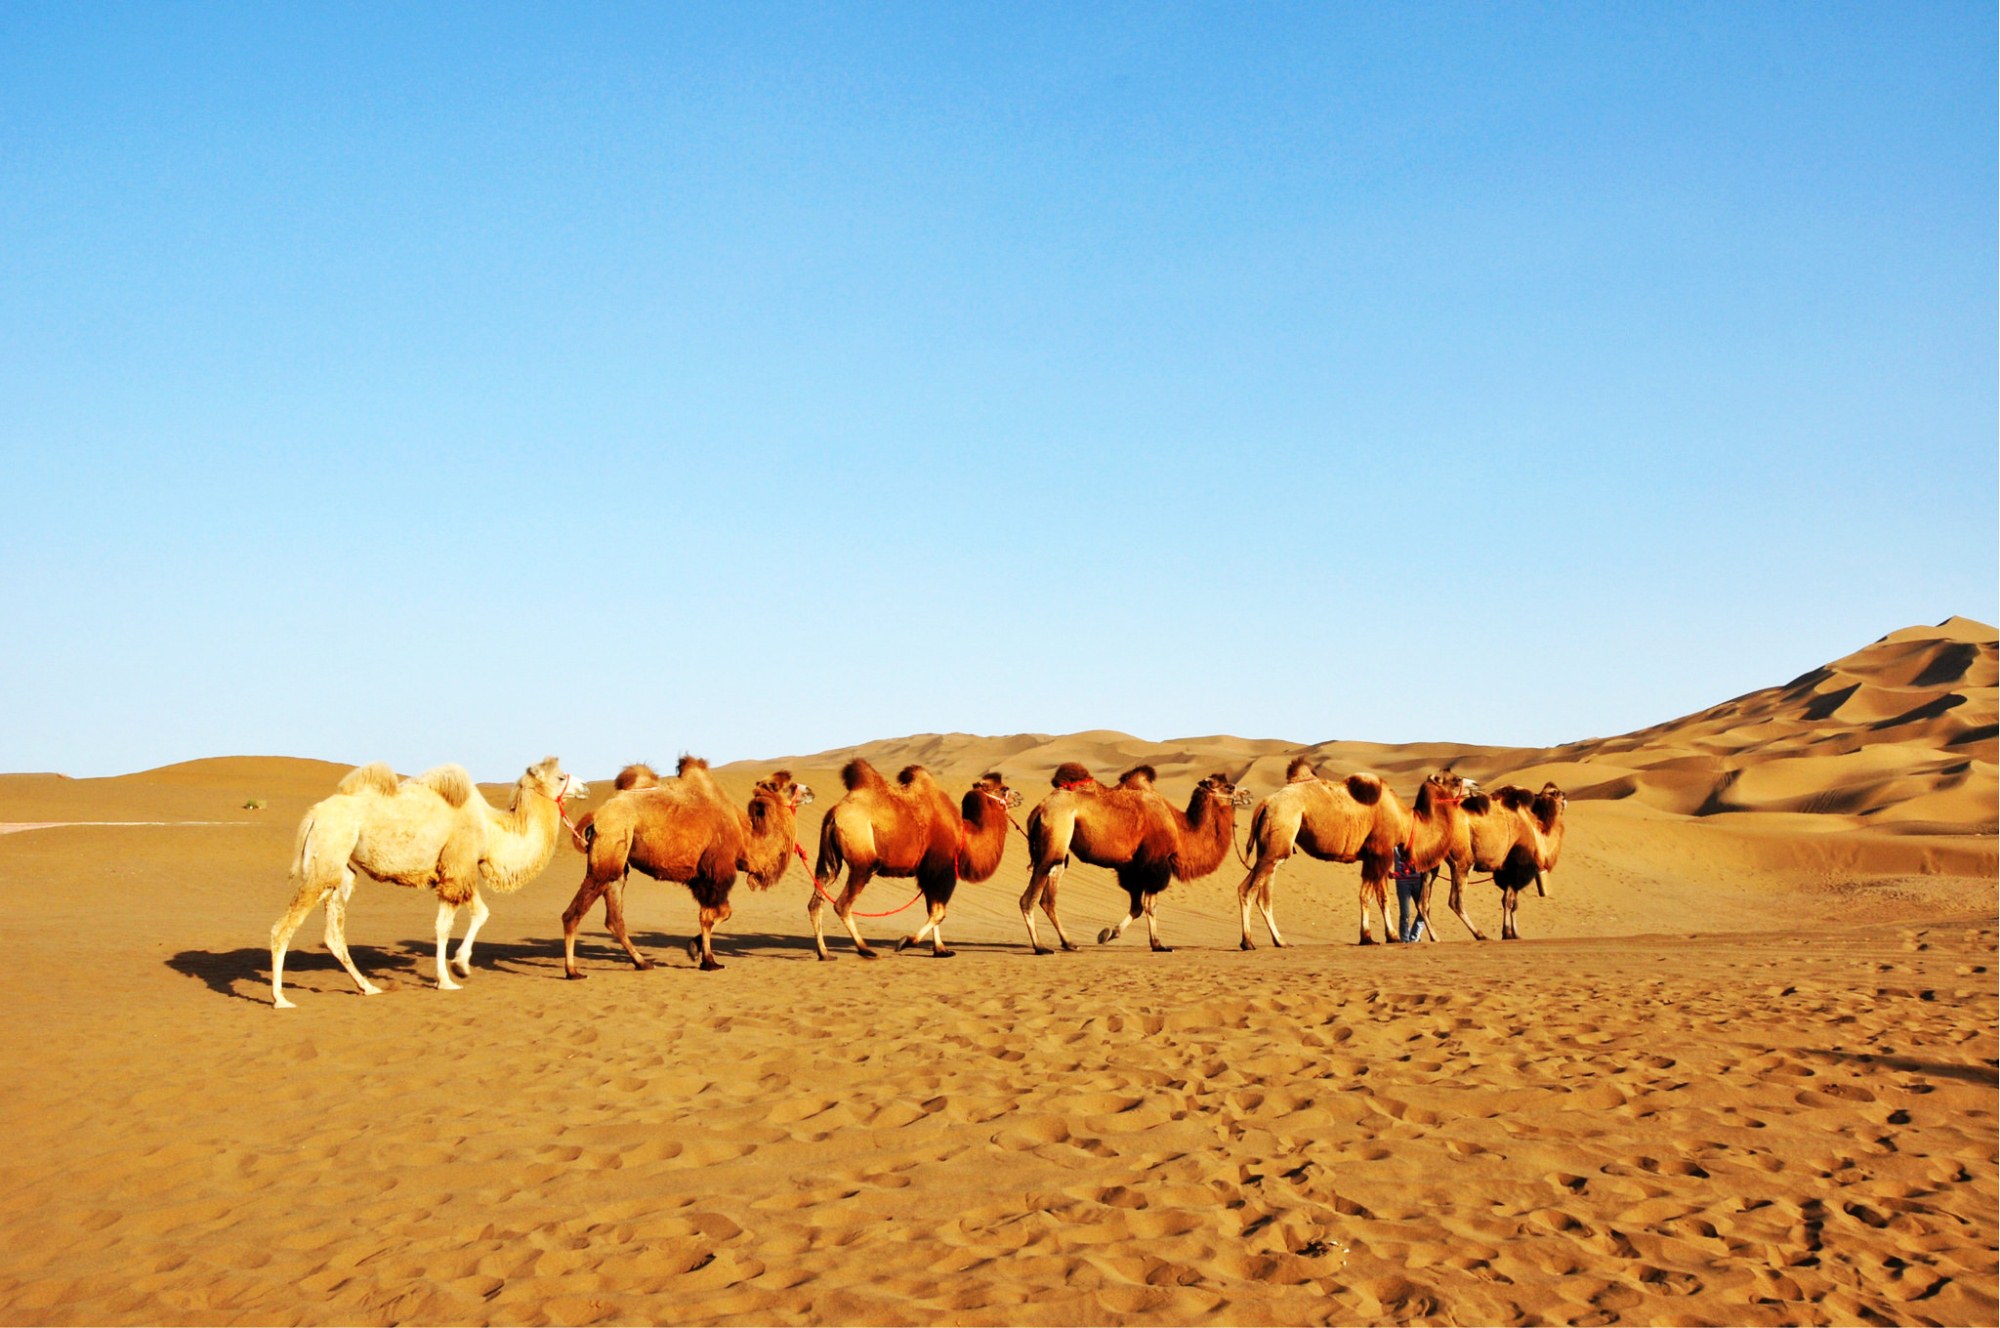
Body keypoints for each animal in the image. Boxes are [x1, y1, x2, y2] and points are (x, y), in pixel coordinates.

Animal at [266, 756, 584, 1008]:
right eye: (560, 776)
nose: (584, 787)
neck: (491, 829)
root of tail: (314, 814)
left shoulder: (455, 871)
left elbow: (478, 913)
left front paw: (458, 968)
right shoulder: (458, 866)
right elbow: (447, 926)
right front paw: (451, 974)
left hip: (339, 872)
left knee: (333, 933)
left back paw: (368, 987)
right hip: (324, 863)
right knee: (282, 928)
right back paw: (280, 998)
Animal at [556, 756, 812, 976]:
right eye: (789, 786)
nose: (810, 791)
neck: (745, 837)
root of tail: (596, 814)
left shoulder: (700, 880)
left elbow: (713, 914)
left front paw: (696, 948)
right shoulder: (717, 872)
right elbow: (716, 914)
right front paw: (708, 960)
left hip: (618, 863)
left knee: (614, 919)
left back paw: (642, 962)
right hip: (608, 852)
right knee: (573, 913)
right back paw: (573, 971)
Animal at [808, 764, 1024, 960]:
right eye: (1004, 789)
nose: (1020, 795)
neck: (963, 834)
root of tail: (835, 814)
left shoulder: (928, 874)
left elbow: (933, 910)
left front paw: (941, 950)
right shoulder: (942, 870)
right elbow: (939, 913)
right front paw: (905, 942)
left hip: (828, 860)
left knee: (816, 901)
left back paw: (825, 953)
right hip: (863, 862)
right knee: (842, 904)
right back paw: (865, 950)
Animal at [1024, 764, 1240, 960]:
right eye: (1229, 787)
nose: (1244, 795)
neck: (1179, 829)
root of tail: (1039, 809)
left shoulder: (1132, 868)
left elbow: (1137, 907)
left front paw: (1108, 934)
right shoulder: (1155, 862)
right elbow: (1150, 906)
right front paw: (1159, 945)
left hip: (1059, 853)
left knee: (1048, 898)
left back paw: (1069, 943)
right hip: (1054, 838)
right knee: (1029, 898)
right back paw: (1041, 947)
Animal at [1224, 756, 1480, 944]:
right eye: (1456, 779)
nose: (1476, 786)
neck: (1406, 821)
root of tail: (1265, 803)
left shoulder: (1376, 855)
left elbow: (1381, 897)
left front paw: (1390, 936)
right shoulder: (1381, 852)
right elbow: (1369, 896)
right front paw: (1368, 937)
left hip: (1271, 849)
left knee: (1264, 897)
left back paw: (1280, 941)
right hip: (1278, 838)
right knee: (1247, 890)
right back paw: (1247, 942)